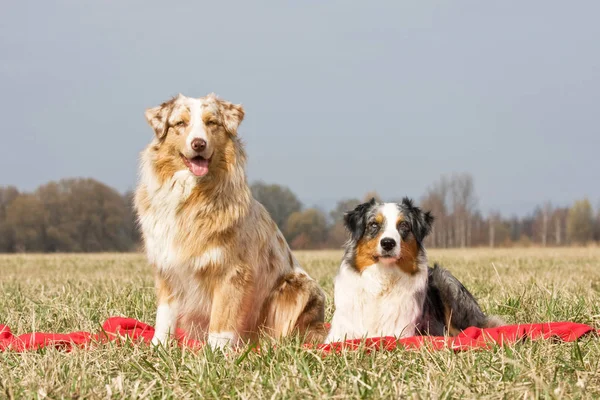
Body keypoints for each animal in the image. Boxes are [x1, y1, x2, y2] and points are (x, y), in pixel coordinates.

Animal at [135, 93, 328, 346]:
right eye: (180, 123)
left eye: (212, 123)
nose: (199, 144)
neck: (191, 196)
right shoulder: (167, 267)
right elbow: (165, 317)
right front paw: (159, 347)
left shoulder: (231, 272)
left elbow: (222, 319)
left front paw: (216, 351)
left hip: (299, 287)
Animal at [326, 198, 500, 342]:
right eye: (373, 225)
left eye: (403, 225)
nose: (388, 243)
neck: (382, 278)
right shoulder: (341, 333)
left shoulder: (401, 332)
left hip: (446, 280)